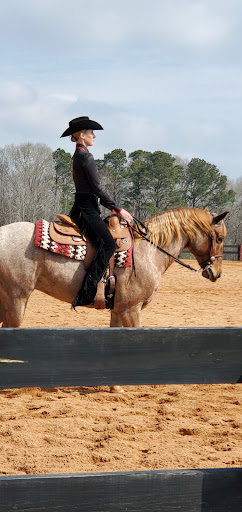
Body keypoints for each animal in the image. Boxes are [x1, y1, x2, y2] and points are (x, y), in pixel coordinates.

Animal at [0, 205, 228, 328]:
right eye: (219, 237)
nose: (217, 273)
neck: (148, 251)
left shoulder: (118, 309)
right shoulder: (131, 310)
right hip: (17, 299)